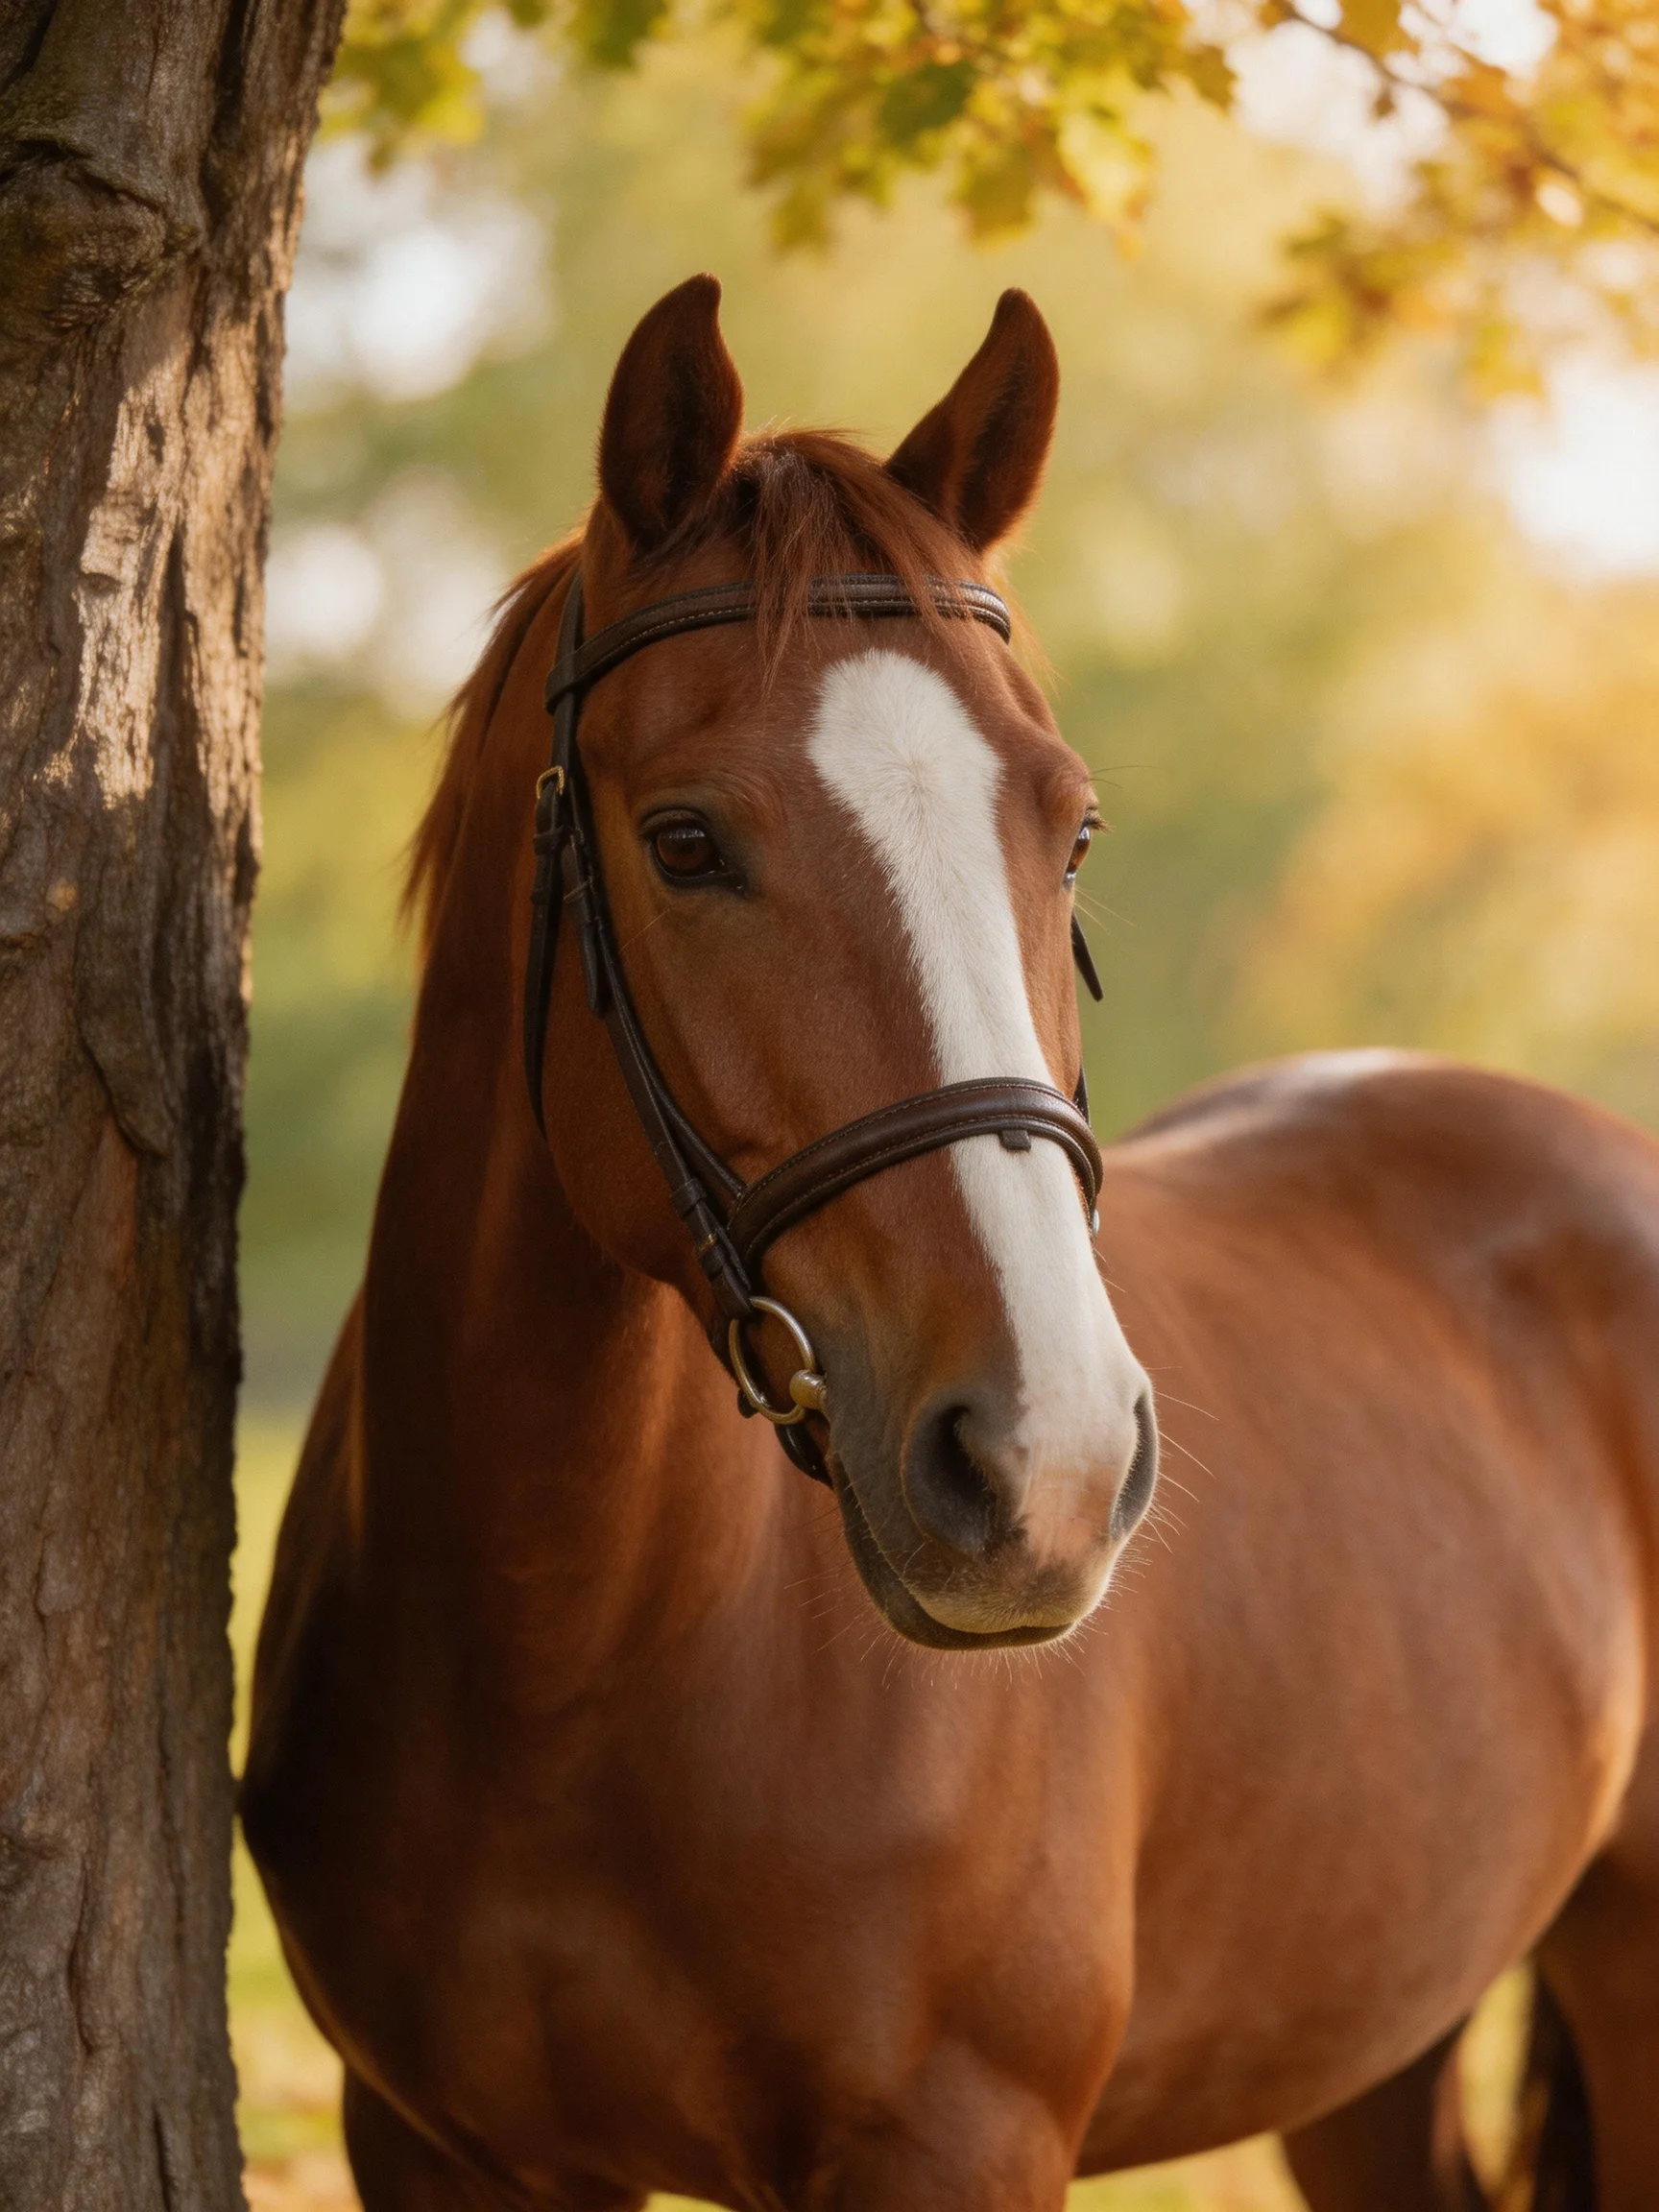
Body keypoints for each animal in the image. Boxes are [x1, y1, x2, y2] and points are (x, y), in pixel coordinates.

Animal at [243, 275, 1659, 2212]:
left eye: (1071, 828)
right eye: (684, 839)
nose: (1044, 1466)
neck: (574, 1650)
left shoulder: (953, 2139)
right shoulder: (436, 2147)